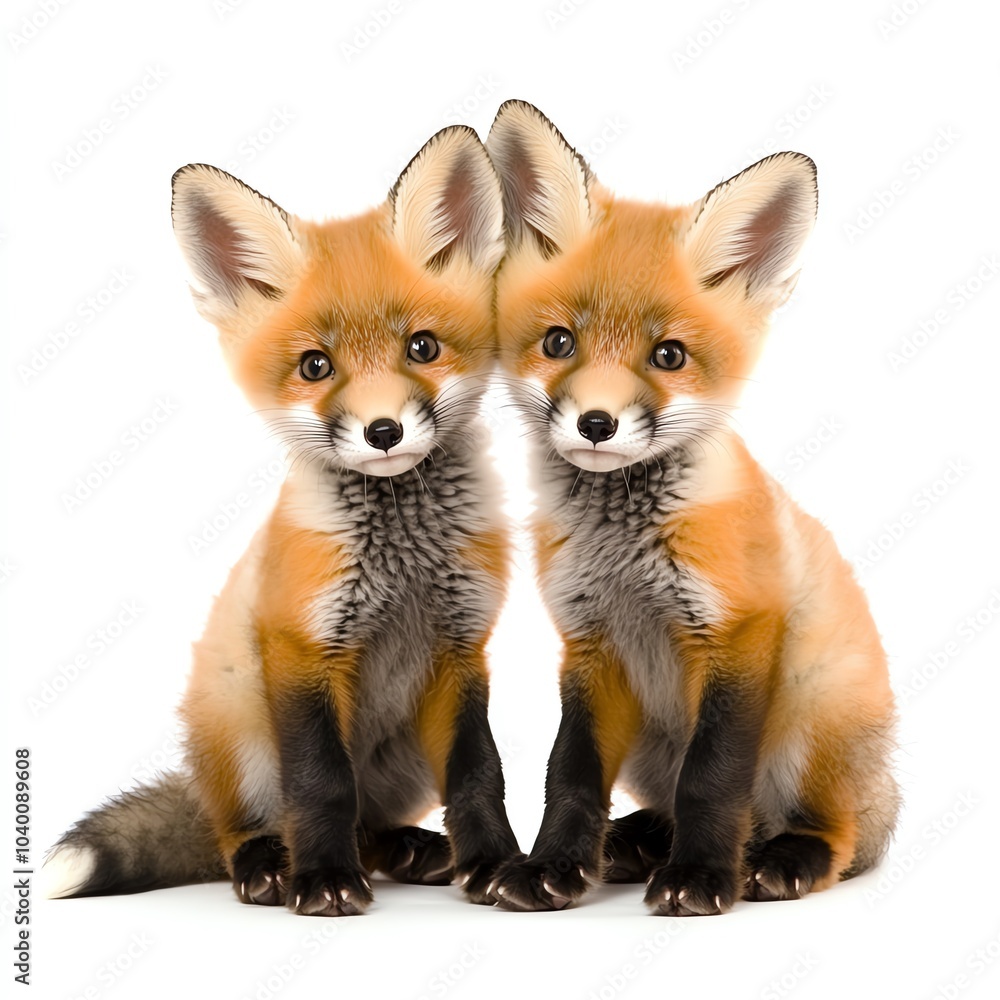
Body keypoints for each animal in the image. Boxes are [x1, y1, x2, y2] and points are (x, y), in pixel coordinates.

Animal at [42, 126, 522, 915]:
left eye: (422, 347)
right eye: (315, 366)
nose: (384, 432)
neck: (402, 561)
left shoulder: (462, 649)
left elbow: (480, 774)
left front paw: (494, 864)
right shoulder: (301, 648)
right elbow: (318, 785)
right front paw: (322, 882)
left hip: (406, 757)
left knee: (369, 823)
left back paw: (407, 849)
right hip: (240, 723)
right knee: (246, 826)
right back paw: (271, 865)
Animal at [483, 101, 899, 915]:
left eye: (669, 356)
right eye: (558, 342)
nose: (597, 423)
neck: (625, 553)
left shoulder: (739, 636)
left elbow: (712, 780)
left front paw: (701, 877)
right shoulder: (590, 646)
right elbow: (569, 774)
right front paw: (553, 866)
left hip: (809, 714)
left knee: (837, 834)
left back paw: (780, 858)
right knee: (670, 801)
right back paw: (638, 841)